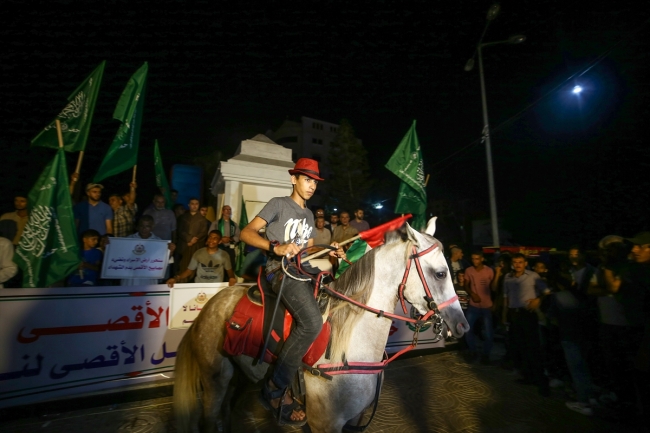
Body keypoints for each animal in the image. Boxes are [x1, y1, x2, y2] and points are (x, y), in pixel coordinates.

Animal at [172, 218, 466, 430]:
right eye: (440, 273)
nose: (463, 325)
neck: (347, 349)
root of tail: (207, 308)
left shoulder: (354, 420)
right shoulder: (324, 424)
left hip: (239, 376)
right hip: (215, 378)